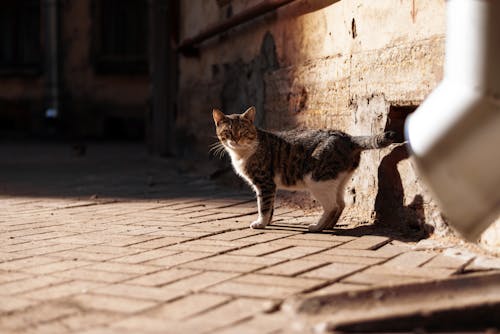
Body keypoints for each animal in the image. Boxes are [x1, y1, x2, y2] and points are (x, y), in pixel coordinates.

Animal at [211, 107, 394, 232]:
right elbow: (270, 206)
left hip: (317, 180)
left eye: (243, 131)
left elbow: (264, 205)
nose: (235, 140)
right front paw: (268, 222)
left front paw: (261, 223)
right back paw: (328, 226)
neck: (242, 153)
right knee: (341, 203)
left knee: (332, 206)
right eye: (228, 132)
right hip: (338, 180)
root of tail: (347, 137)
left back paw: (317, 227)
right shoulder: (269, 186)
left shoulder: (265, 183)